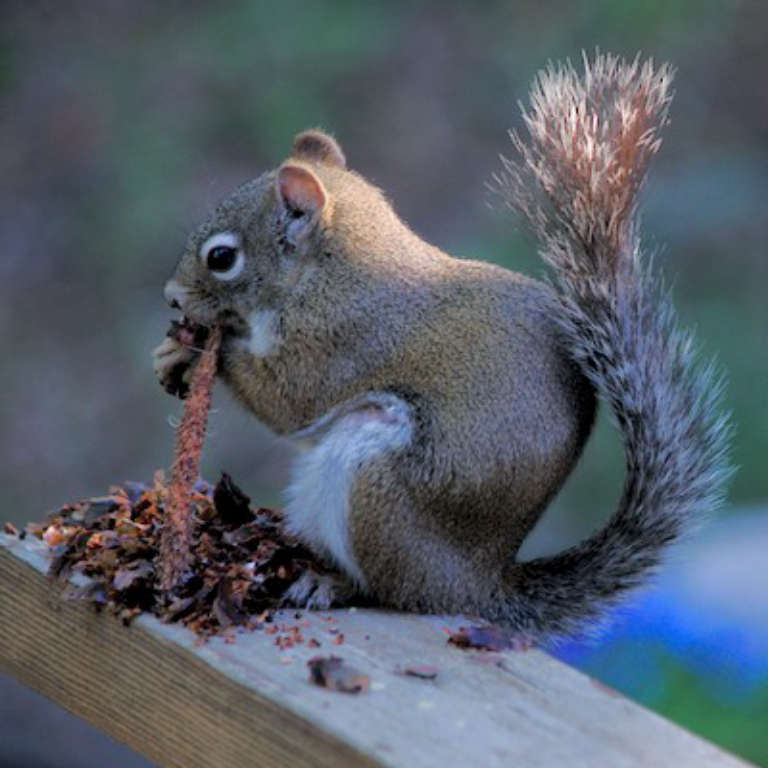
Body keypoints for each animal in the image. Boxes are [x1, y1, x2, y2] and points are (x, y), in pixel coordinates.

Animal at [152, 54, 732, 640]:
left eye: (222, 258)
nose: (172, 296)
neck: (328, 274)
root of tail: (476, 586)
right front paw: (170, 355)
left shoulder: (342, 339)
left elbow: (290, 401)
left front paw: (208, 352)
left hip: (377, 485)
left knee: (391, 590)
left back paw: (332, 583)